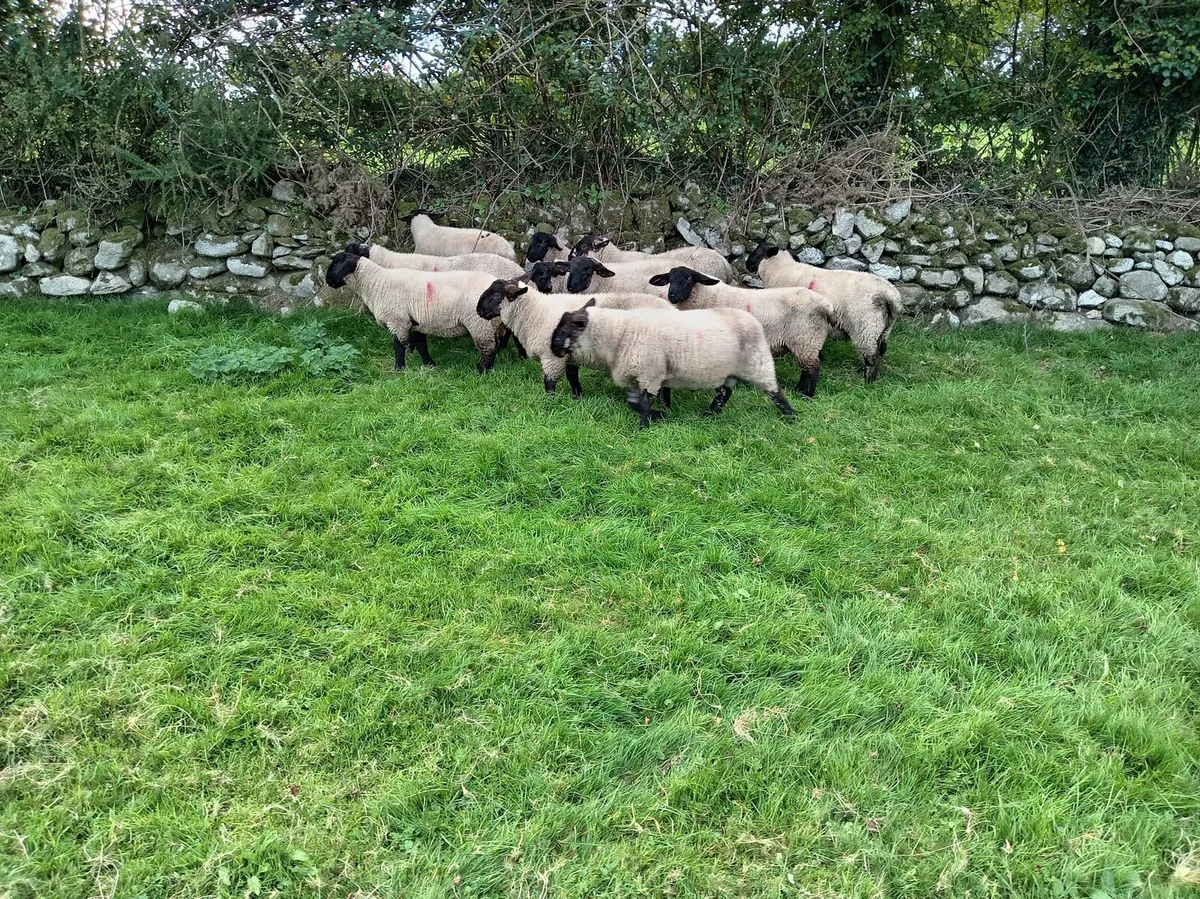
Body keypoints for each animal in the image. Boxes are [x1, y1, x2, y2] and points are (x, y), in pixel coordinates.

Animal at [325, 250, 505, 372]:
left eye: (336, 263)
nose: (327, 281)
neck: (375, 283)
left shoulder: (397, 321)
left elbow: (398, 346)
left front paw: (399, 368)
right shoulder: (416, 323)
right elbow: (420, 345)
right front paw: (429, 364)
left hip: (480, 324)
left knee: (488, 348)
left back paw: (483, 371)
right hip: (492, 324)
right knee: (495, 345)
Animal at [476, 279, 675, 399]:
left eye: (496, 295)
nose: (478, 310)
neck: (536, 312)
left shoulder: (552, 357)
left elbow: (549, 382)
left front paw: (550, 402)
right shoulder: (569, 355)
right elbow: (572, 376)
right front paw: (577, 397)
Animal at [549, 299, 795, 428]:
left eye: (563, 330)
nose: (553, 349)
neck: (620, 333)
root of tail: (755, 322)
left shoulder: (650, 374)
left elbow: (644, 403)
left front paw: (644, 427)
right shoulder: (637, 376)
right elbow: (634, 403)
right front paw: (660, 415)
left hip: (758, 363)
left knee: (775, 391)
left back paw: (791, 417)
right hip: (731, 370)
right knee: (725, 392)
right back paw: (710, 414)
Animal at [648, 266, 837, 398]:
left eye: (688, 279)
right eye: (669, 279)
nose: (672, 295)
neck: (705, 296)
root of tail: (826, 305)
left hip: (806, 338)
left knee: (812, 370)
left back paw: (806, 395)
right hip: (806, 341)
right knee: (807, 369)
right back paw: (798, 391)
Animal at [746, 242, 903, 381]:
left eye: (758, 251)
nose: (747, 265)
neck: (779, 269)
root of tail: (890, 296)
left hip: (866, 326)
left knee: (872, 355)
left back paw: (868, 379)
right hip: (884, 328)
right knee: (881, 350)